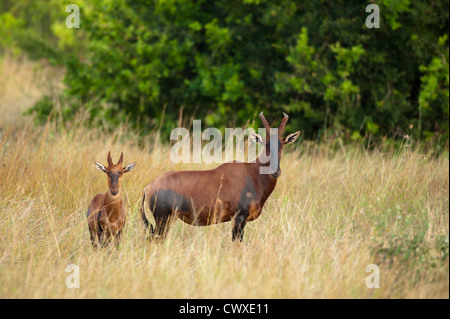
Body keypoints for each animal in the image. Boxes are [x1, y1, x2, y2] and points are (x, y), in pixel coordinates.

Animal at [140, 112, 298, 242]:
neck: (252, 173)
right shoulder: (239, 218)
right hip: (163, 220)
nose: (275, 172)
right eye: (266, 144)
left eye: (282, 144)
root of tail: (148, 186)